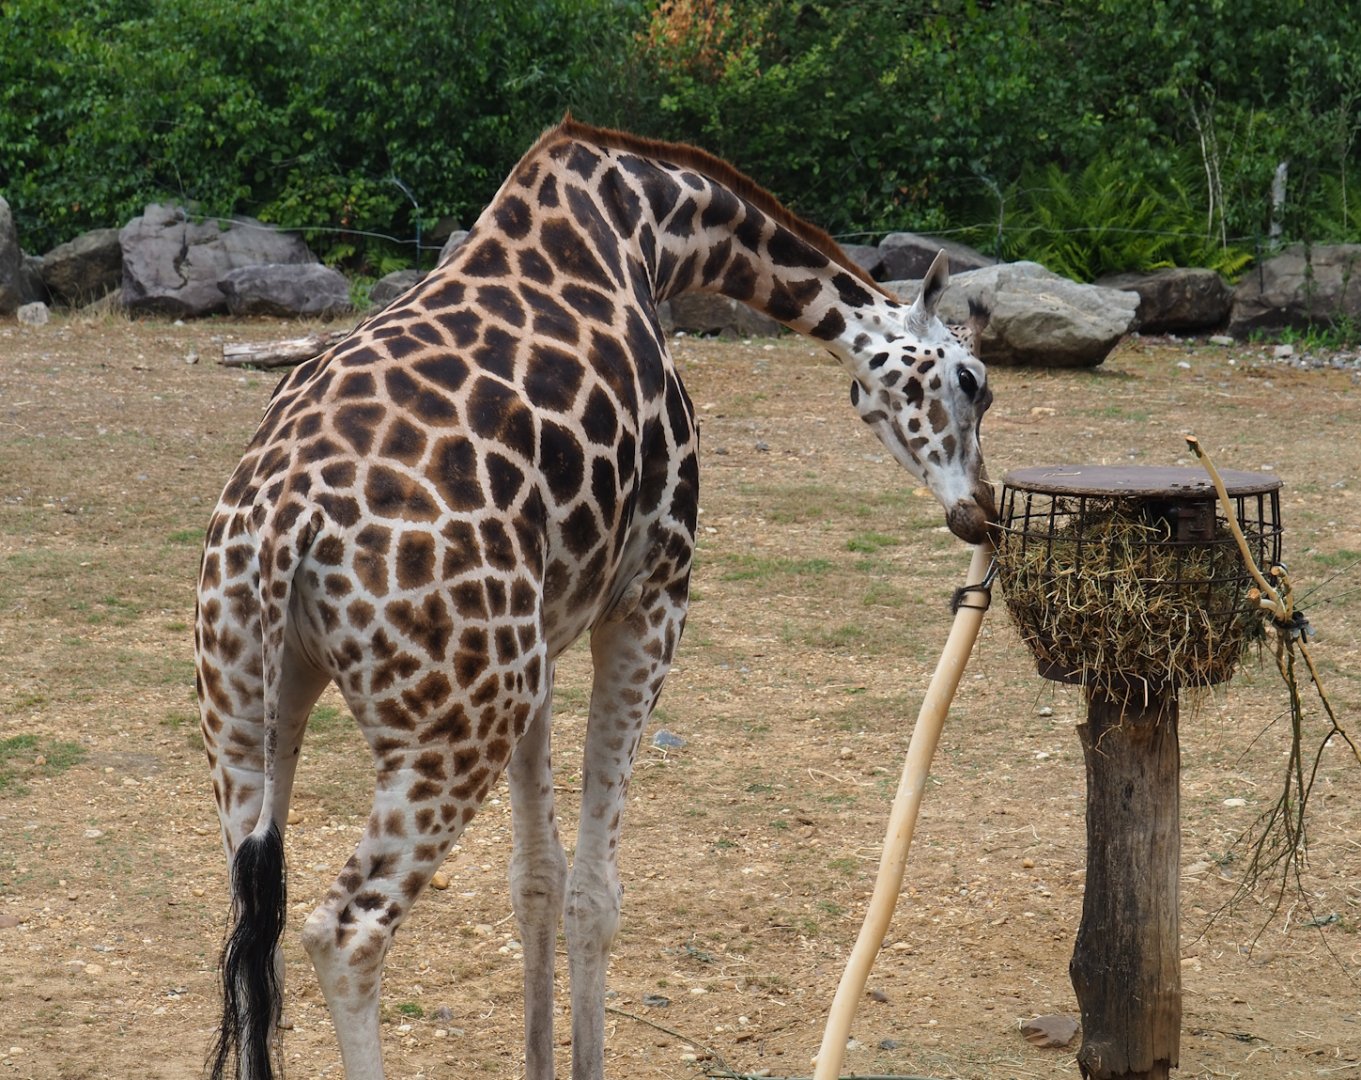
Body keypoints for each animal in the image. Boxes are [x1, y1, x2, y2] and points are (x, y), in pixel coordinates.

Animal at [197, 115, 995, 1080]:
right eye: (971, 382)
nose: (978, 510)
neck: (655, 223)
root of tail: (282, 524)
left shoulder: (541, 628)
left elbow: (535, 878)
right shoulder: (652, 594)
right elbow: (593, 891)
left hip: (250, 709)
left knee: (257, 936)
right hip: (456, 719)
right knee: (341, 933)